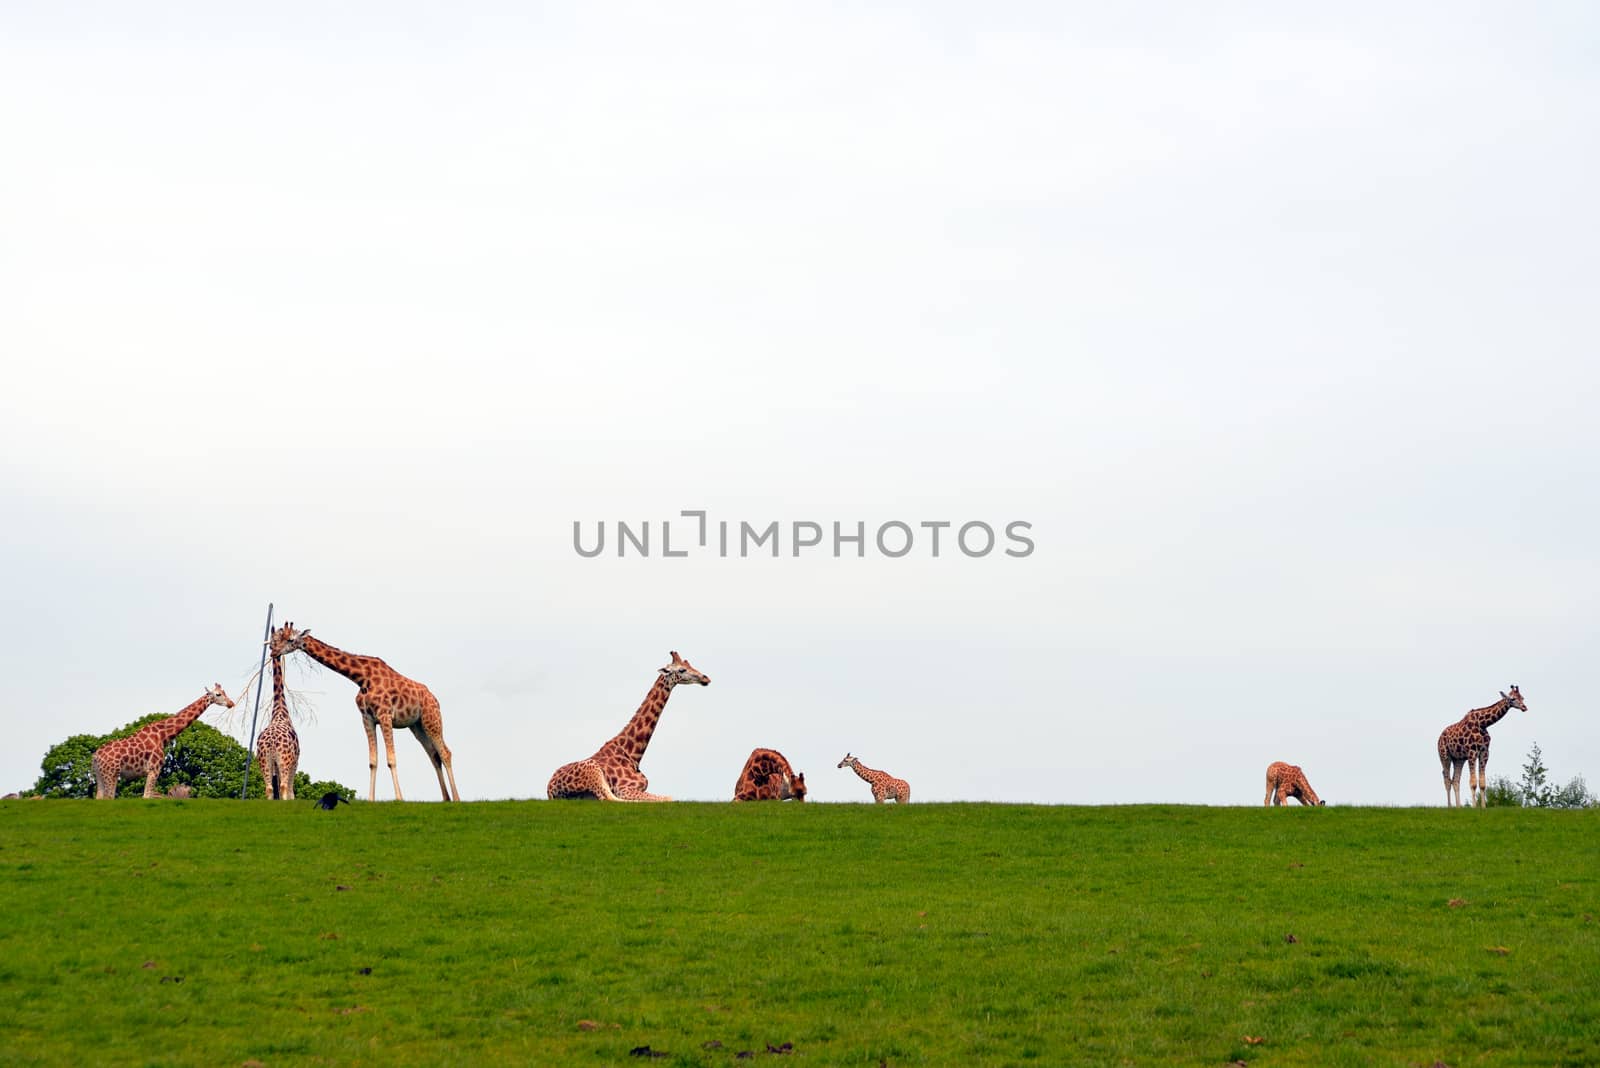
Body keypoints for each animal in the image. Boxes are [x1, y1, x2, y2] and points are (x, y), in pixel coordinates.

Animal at [92, 684, 233, 799]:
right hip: (111, 774)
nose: (231, 703)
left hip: (100, 775)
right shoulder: (154, 769)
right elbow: (146, 796)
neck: (163, 736)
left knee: (99, 797)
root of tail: (95, 756)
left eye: (224, 692)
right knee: (109, 797)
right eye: (218, 694)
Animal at [252, 620, 300, 796]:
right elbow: (291, 792)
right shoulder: (295, 761)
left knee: (269, 789)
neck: (280, 710)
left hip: (264, 760)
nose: (276, 653)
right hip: (284, 761)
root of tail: (271, 743)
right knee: (285, 787)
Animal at [275, 626, 460, 799]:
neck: (361, 678)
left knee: (445, 753)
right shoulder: (367, 718)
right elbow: (373, 761)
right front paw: (371, 799)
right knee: (434, 755)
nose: (274, 651)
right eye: (279, 637)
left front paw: (399, 798)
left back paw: (456, 798)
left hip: (431, 719)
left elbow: (391, 759)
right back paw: (446, 798)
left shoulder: (385, 715)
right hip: (417, 726)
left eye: (290, 639)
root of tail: (434, 699)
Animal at [547, 652, 710, 799]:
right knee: (610, 799)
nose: (706, 678)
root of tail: (550, 790)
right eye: (682, 670)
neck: (633, 754)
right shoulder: (624, 788)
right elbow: (668, 798)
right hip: (593, 772)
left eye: (690, 664)